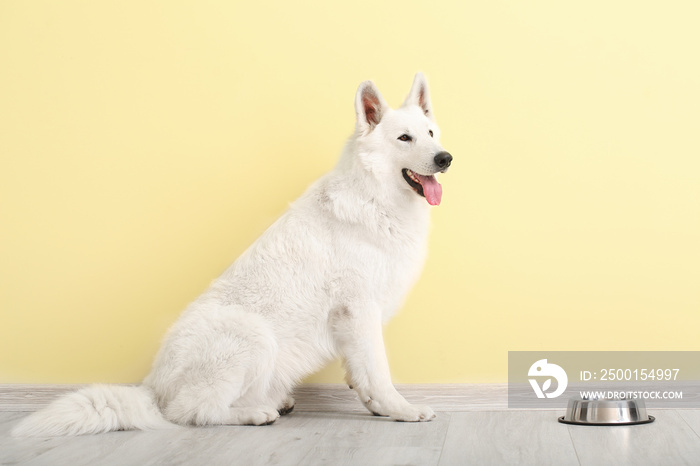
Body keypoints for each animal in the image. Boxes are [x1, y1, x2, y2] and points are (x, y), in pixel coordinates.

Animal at [12, 72, 454, 436]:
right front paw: (400, 409)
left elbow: (361, 374)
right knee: (189, 412)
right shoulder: (359, 310)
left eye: (431, 132)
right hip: (252, 335)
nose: (445, 158)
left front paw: (377, 407)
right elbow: (378, 371)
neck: (374, 198)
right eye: (404, 138)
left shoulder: (357, 320)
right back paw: (254, 414)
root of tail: (153, 388)